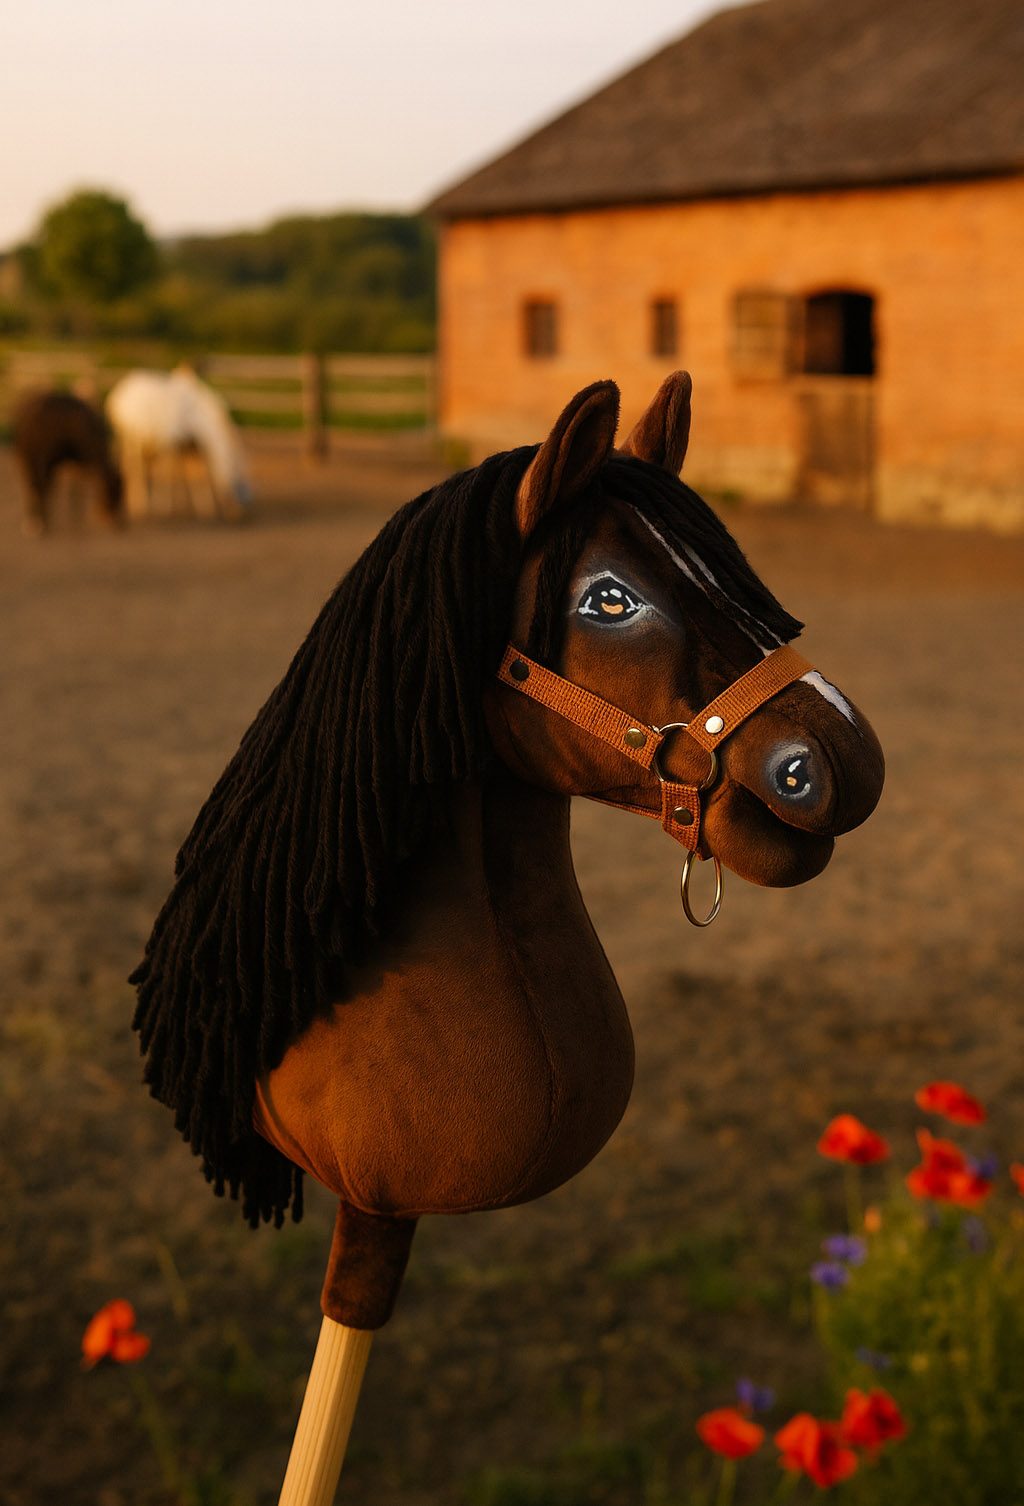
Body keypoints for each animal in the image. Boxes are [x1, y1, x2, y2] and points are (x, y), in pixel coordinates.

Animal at [11, 389, 123, 535]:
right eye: (114, 492)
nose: (120, 525)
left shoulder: (73, 463)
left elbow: (74, 489)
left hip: (29, 459)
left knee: (34, 486)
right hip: (36, 459)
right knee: (39, 486)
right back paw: (39, 523)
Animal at [106, 364, 252, 521]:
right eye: (241, 480)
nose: (242, 513)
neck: (197, 415)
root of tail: (119, 393)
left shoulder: (190, 446)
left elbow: (195, 473)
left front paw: (205, 508)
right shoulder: (171, 442)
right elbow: (167, 474)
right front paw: (163, 506)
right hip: (133, 439)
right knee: (134, 467)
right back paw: (137, 505)